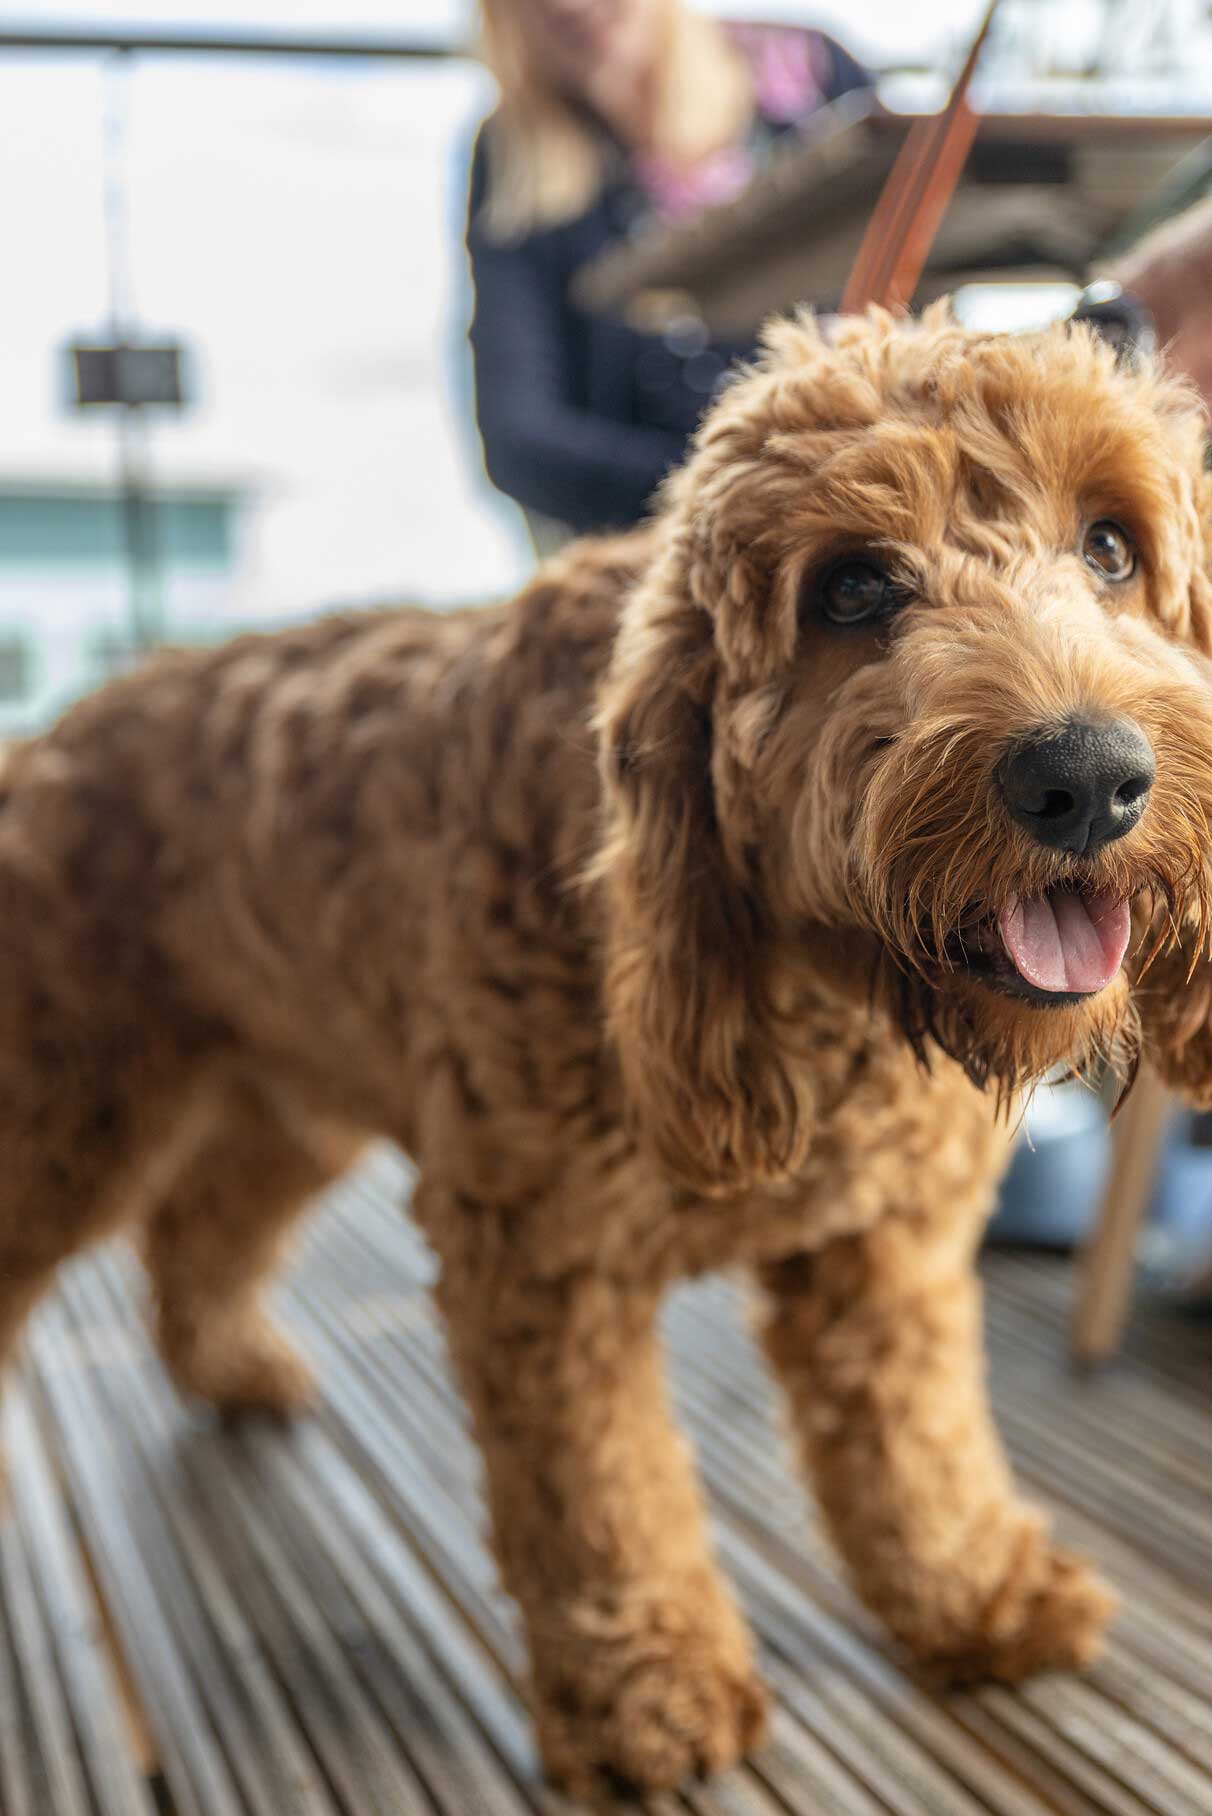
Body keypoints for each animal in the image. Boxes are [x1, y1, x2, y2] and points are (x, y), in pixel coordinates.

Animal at [2, 305, 1212, 1794]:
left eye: (1111, 545)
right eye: (853, 589)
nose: (1087, 778)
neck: (810, 986)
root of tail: (69, 727)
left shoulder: (887, 1251)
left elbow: (919, 1442)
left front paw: (975, 1593)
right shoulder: (545, 1252)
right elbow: (600, 1491)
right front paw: (651, 1686)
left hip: (293, 1092)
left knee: (204, 1224)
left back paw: (229, 1365)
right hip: (68, 1104)